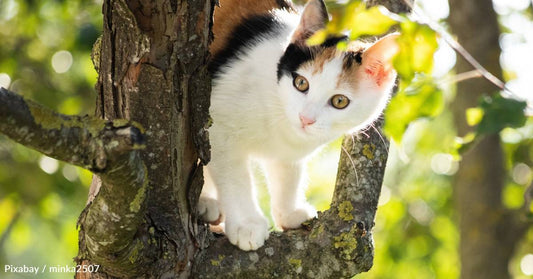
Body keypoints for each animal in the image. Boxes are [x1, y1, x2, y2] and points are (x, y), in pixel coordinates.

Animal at [201, 0, 400, 252]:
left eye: (340, 101)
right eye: (301, 83)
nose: (306, 118)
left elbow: (288, 174)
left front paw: (289, 213)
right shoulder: (218, 125)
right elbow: (234, 176)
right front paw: (247, 224)